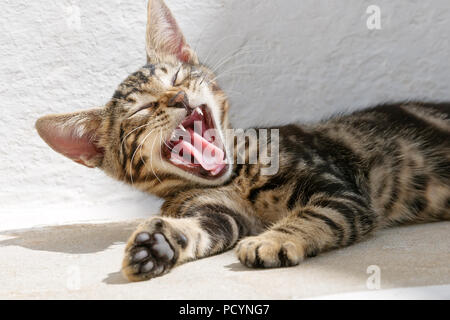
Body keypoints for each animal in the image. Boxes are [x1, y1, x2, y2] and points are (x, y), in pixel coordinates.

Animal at [37, 0, 448, 282]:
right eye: (142, 109)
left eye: (177, 78)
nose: (178, 98)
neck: (235, 175)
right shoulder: (220, 212)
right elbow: (201, 229)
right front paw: (159, 244)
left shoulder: (341, 191)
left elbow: (314, 214)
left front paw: (275, 240)